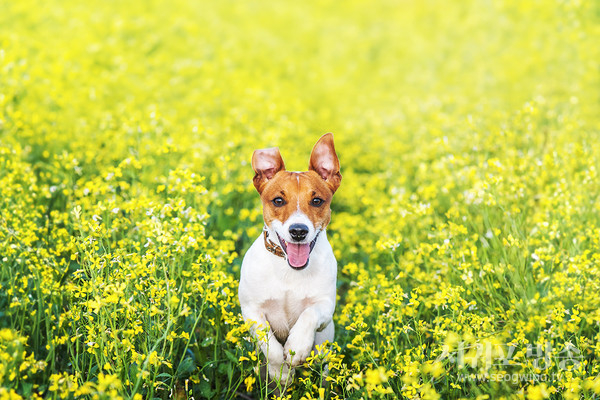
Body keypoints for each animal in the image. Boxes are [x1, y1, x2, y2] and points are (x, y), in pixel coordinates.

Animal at [239, 133, 342, 382]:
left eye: (317, 201)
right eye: (278, 200)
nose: (298, 231)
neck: (288, 271)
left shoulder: (325, 307)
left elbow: (309, 315)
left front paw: (297, 347)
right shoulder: (251, 310)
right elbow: (269, 343)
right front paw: (281, 372)